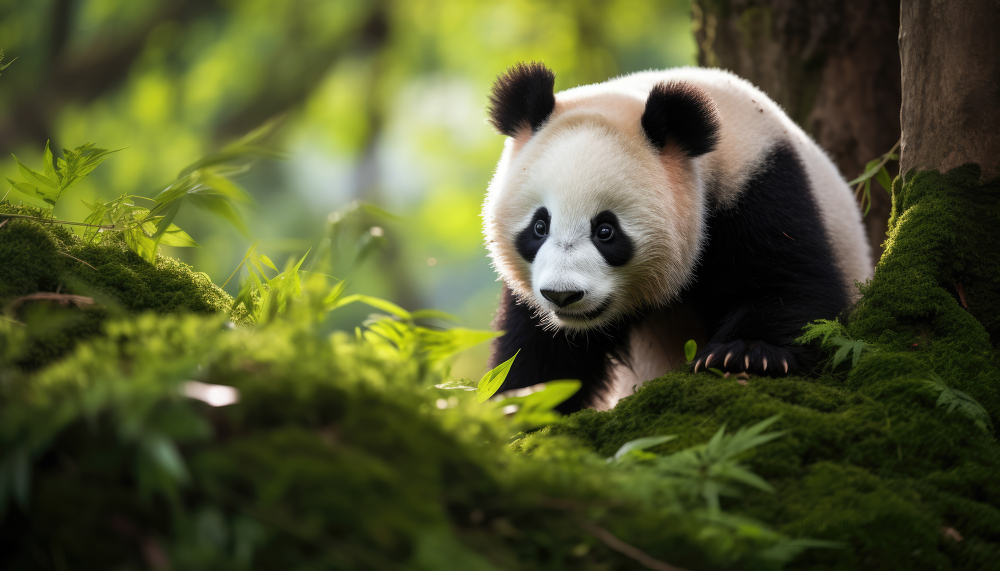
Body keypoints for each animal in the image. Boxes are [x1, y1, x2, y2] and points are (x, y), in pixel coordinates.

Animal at [480, 61, 872, 412]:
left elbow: (787, 280)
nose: (562, 295)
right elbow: (542, 352)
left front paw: (746, 354)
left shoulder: (759, 182)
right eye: (539, 227)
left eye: (605, 231)